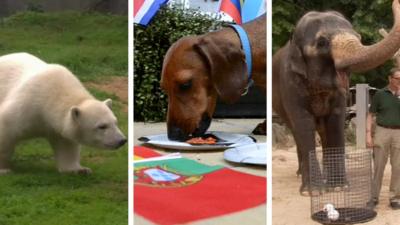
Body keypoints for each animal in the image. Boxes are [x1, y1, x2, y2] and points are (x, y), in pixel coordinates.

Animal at [276, 0, 400, 195]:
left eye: (358, 36)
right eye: (322, 42)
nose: (395, 2)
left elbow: (335, 121)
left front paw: (339, 187)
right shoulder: (290, 82)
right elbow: (303, 123)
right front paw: (313, 192)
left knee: (323, 131)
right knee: (296, 131)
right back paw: (301, 175)